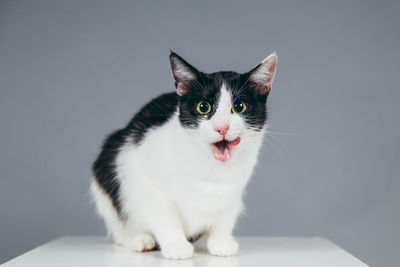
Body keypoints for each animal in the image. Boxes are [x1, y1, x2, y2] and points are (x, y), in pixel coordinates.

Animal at [90, 50, 278, 260]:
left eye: (239, 106)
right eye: (203, 107)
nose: (222, 127)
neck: (211, 169)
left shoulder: (234, 192)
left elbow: (225, 216)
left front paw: (220, 242)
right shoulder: (147, 181)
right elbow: (165, 216)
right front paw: (176, 245)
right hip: (107, 170)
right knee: (120, 227)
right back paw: (140, 239)